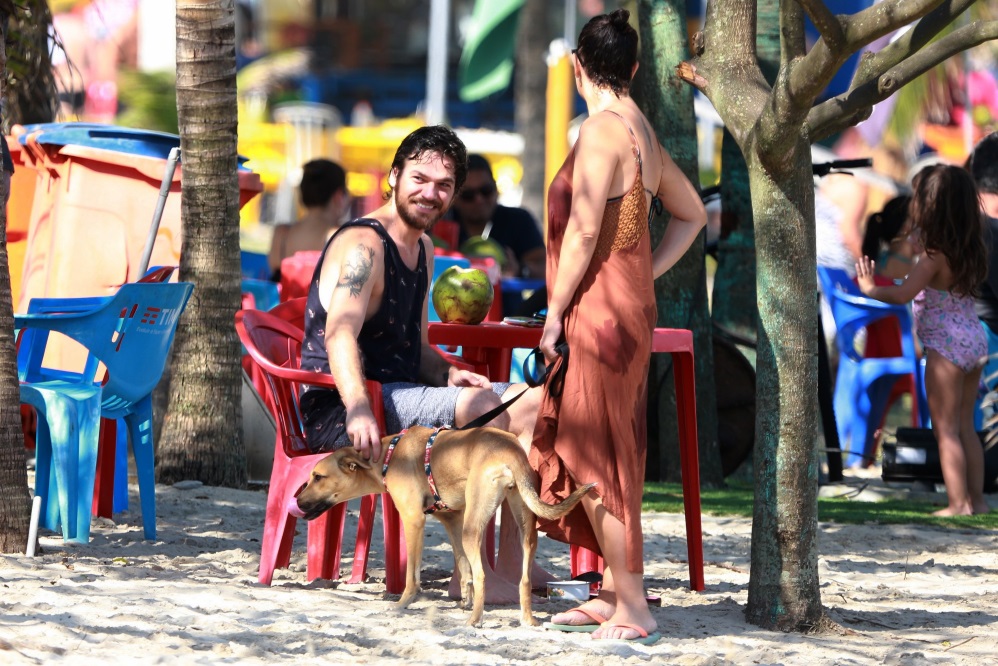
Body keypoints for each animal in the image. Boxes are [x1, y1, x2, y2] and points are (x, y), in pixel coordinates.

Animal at [292, 422, 596, 624]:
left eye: (317, 477)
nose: (298, 502)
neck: (389, 455)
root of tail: (510, 452)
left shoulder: (414, 520)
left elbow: (413, 576)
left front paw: (402, 603)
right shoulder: (452, 520)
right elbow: (464, 569)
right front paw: (464, 600)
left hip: (473, 529)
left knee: (484, 575)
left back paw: (475, 620)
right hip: (522, 526)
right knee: (523, 578)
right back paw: (527, 619)